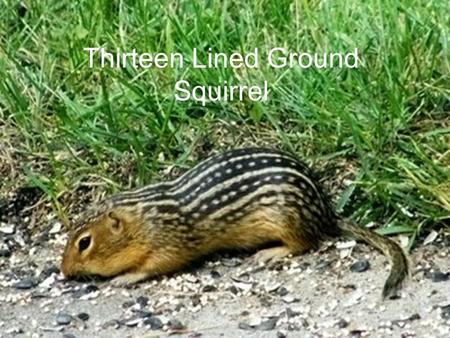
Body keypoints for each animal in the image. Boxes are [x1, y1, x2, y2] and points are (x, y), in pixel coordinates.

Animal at [59, 148, 408, 298]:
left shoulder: (169, 243)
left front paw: (124, 278)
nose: (63, 271)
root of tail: (325, 211)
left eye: (84, 242)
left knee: (305, 243)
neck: (146, 216)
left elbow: (155, 266)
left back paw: (271, 253)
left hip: (287, 221)